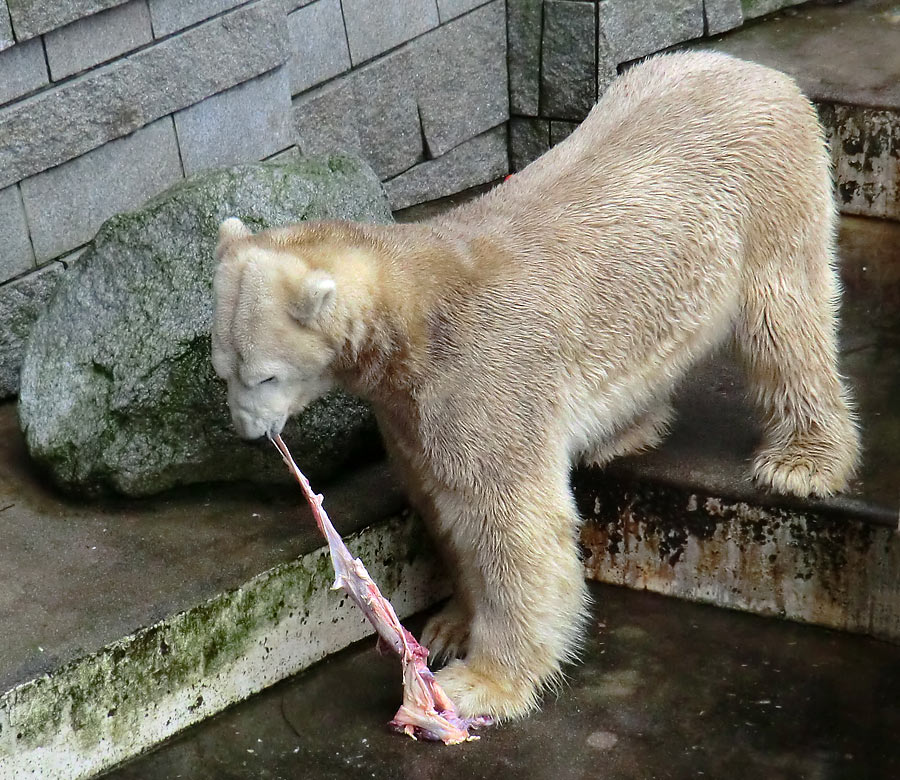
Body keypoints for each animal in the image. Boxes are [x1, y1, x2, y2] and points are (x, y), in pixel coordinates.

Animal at [211, 50, 856, 720]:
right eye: (221, 369)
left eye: (265, 374)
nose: (247, 430)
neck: (414, 314)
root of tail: (758, 70)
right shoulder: (410, 406)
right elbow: (437, 499)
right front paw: (450, 624)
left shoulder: (482, 375)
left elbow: (509, 520)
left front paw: (480, 682)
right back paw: (620, 434)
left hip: (767, 196)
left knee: (784, 323)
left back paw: (802, 461)